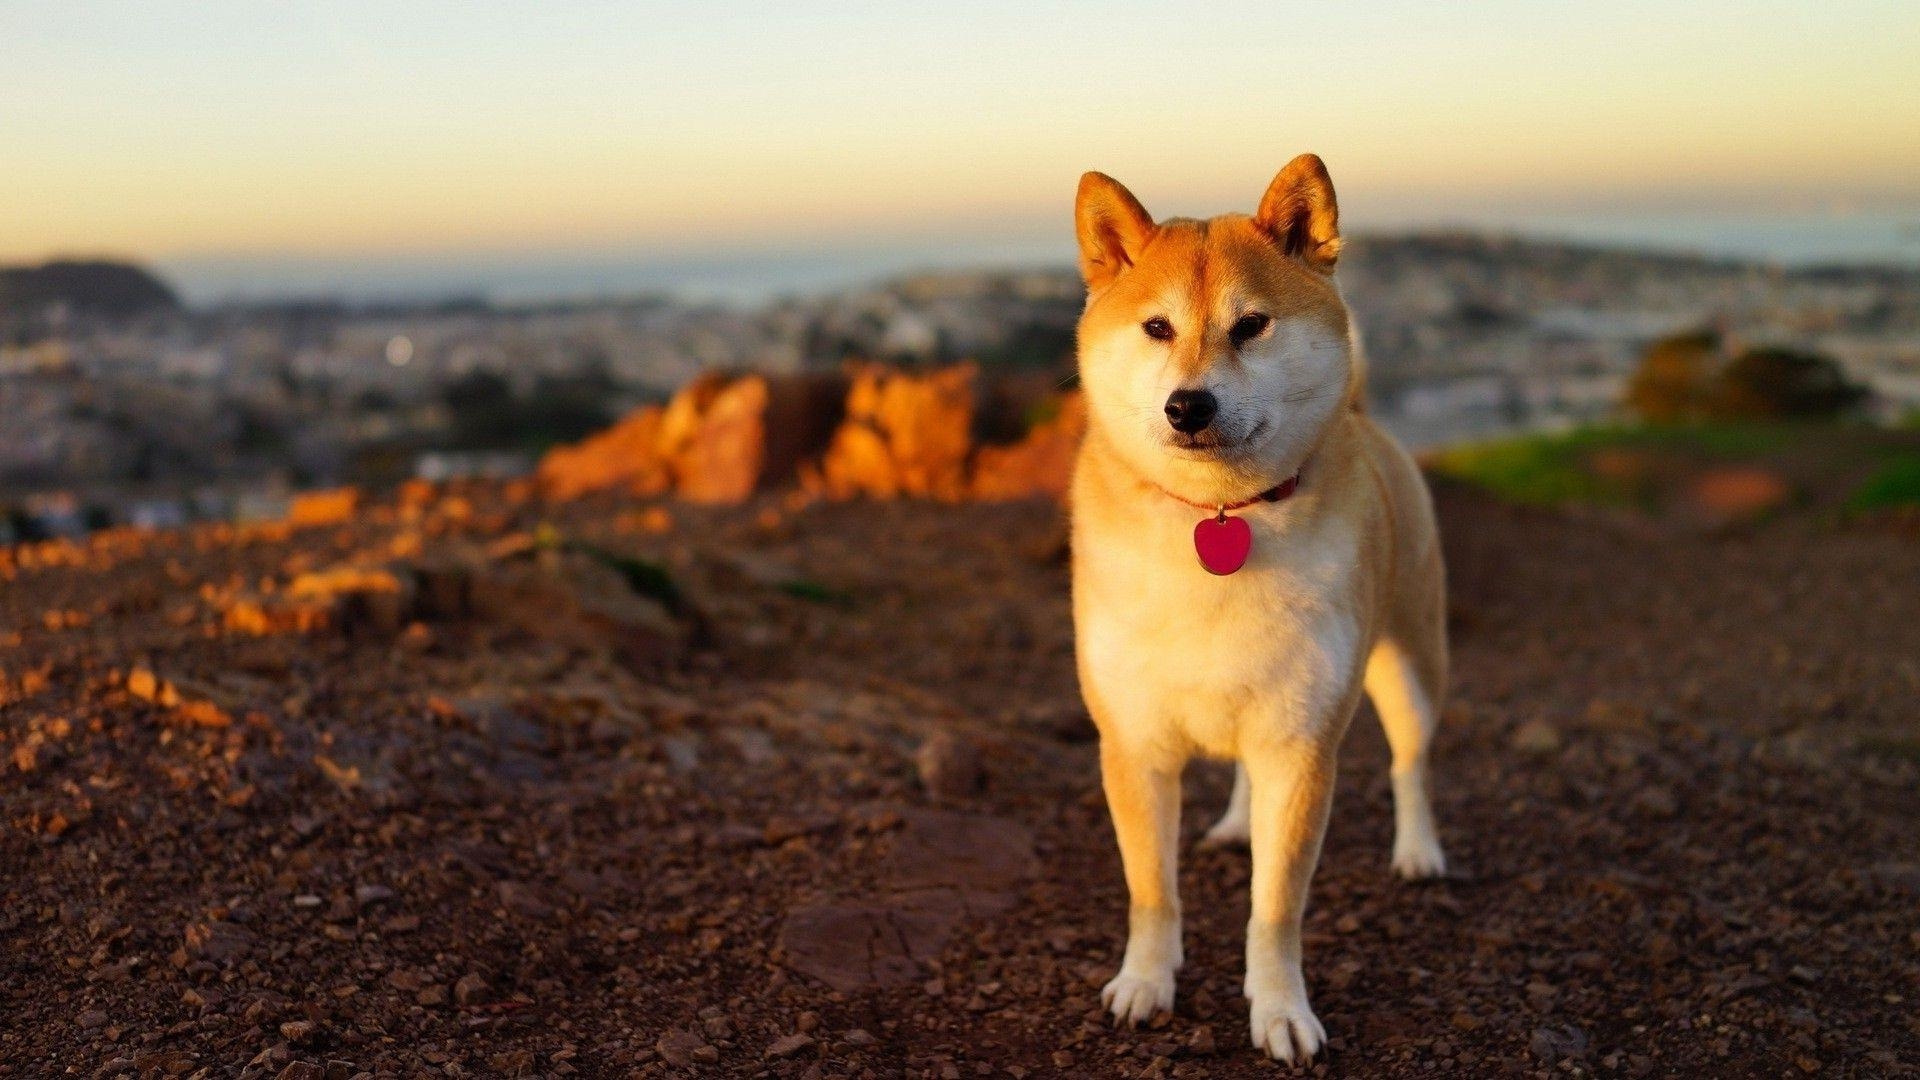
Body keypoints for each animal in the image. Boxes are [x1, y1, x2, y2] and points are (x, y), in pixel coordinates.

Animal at [1067, 155, 1443, 1060]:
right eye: (1157, 328)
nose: (1188, 405)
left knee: (1410, 764)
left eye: (1252, 327)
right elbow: (1152, 891)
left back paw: (1418, 850)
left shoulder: (1301, 747)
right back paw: (1239, 824)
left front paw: (1280, 1012)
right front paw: (1145, 982)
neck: (1218, 517)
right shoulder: (1134, 744)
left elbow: (1275, 912)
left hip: (1410, 669)